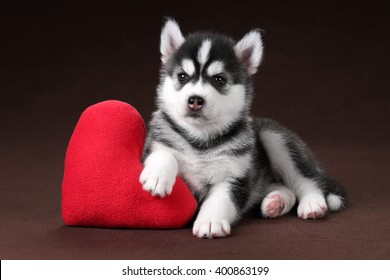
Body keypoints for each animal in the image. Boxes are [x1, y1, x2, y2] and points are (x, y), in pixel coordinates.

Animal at [139, 18, 346, 238]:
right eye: (182, 76)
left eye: (219, 79)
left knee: (306, 180)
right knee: (285, 188)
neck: (200, 141)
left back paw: (312, 203)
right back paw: (276, 202)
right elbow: (163, 153)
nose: (195, 100)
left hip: (274, 137)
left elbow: (220, 200)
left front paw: (210, 221)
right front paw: (157, 177)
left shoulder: (235, 178)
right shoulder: (153, 146)